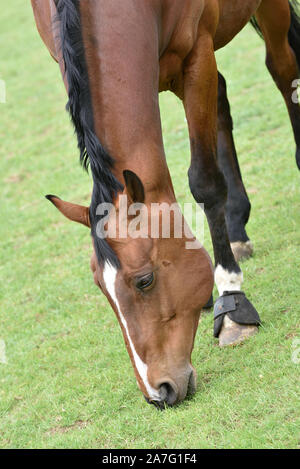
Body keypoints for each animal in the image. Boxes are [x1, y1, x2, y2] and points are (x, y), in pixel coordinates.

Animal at [31, 0, 298, 408]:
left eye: (144, 280)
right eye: (101, 289)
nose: (158, 392)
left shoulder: (196, 56)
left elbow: (205, 183)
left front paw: (231, 303)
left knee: (283, 69)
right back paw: (237, 228)